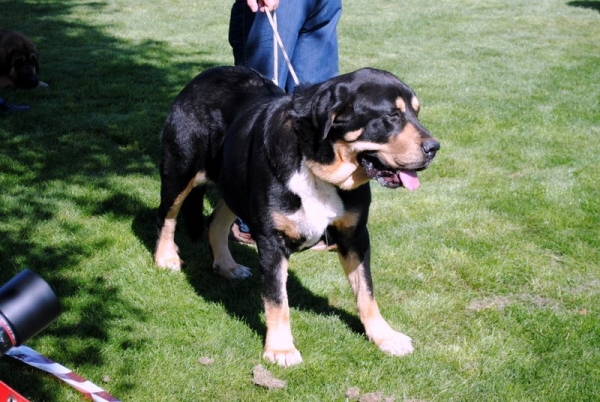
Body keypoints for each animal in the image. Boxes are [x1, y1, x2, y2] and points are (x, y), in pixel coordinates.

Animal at [156, 66, 440, 368]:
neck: (317, 167)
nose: (434, 147)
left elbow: (367, 292)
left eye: (416, 113)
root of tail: (204, 76)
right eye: (392, 115)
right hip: (180, 172)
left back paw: (227, 265)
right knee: (166, 216)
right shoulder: (272, 242)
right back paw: (165, 257)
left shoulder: (355, 235)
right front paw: (280, 348)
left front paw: (384, 336)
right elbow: (277, 300)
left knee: (216, 224)